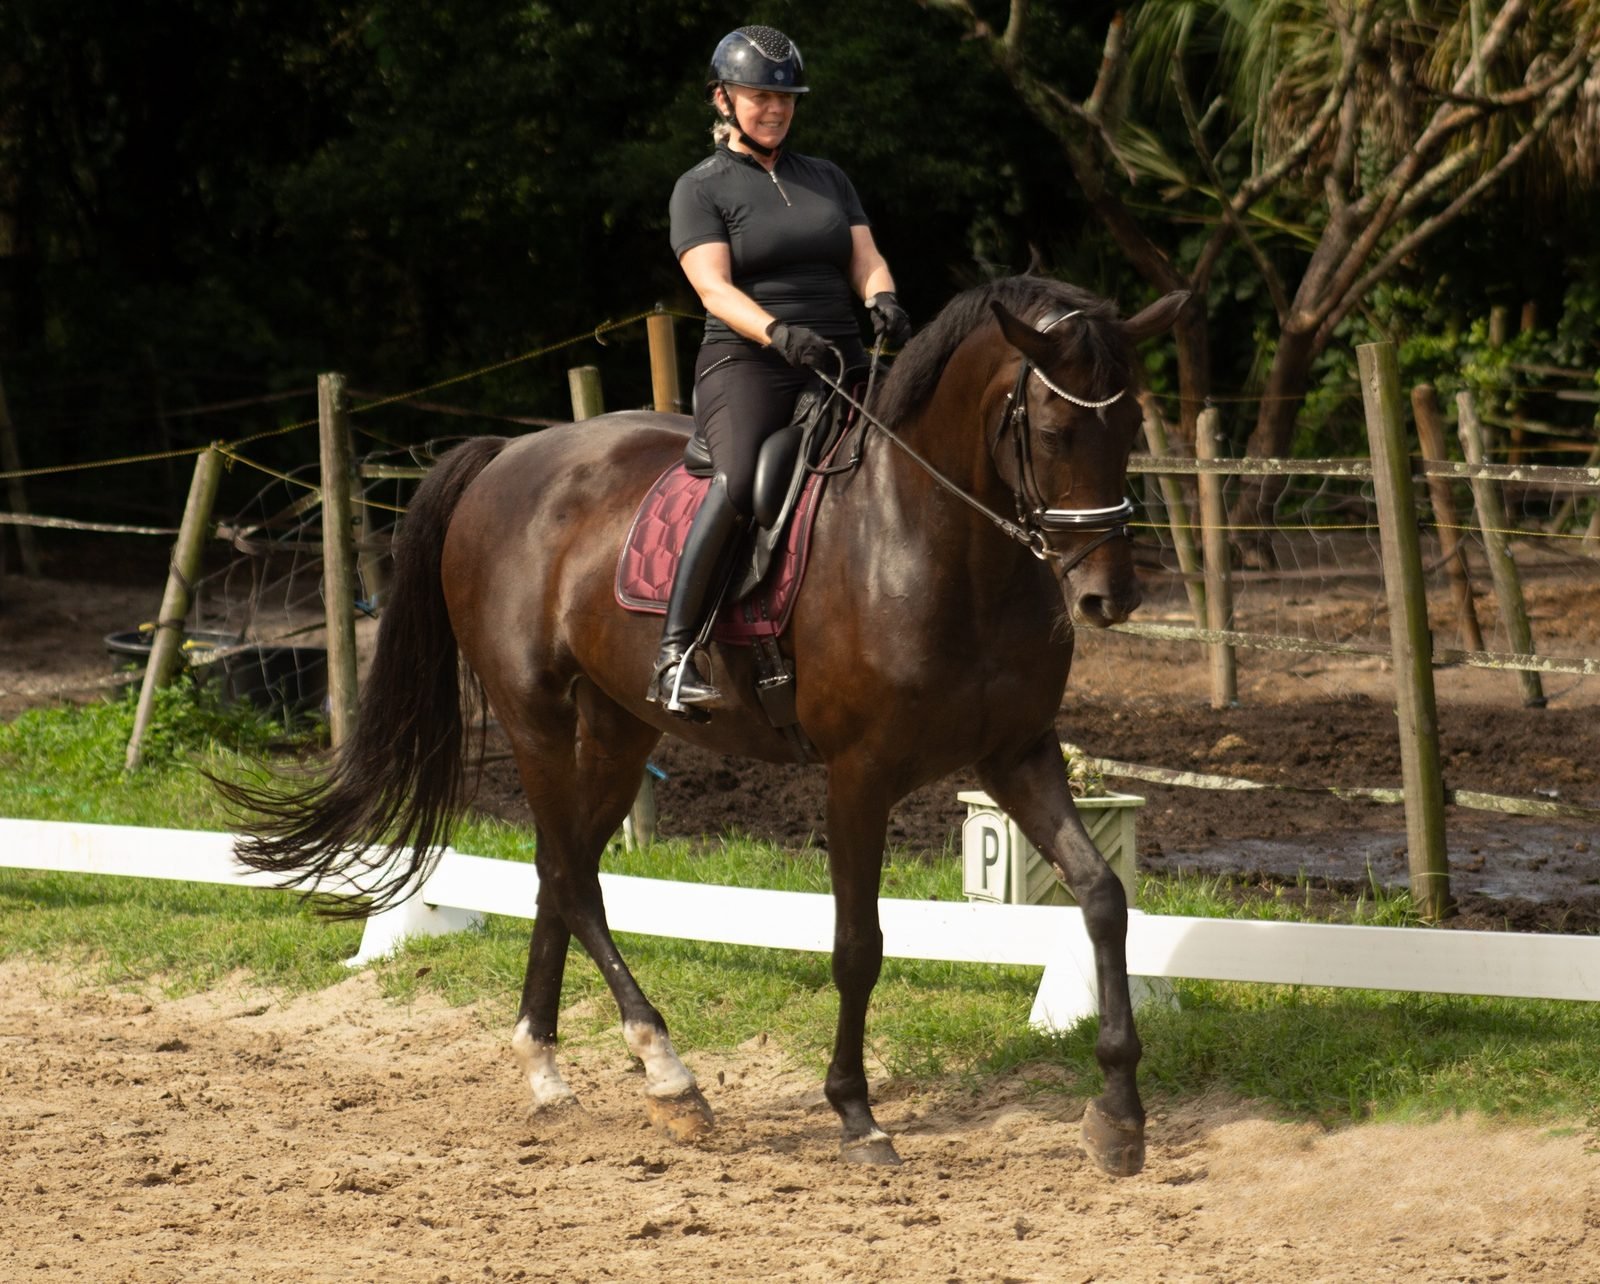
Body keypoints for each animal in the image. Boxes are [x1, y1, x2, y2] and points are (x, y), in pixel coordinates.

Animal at [228, 275, 1187, 1174]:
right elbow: (858, 943)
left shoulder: (1016, 755)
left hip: (620, 731)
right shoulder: (860, 773)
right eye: (1056, 432)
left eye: (1129, 429)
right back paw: (668, 1073)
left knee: (559, 871)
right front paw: (856, 1114)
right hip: (535, 718)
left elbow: (1104, 898)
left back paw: (547, 1070)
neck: (936, 539)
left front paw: (1119, 1116)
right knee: (572, 878)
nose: (1107, 597)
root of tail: (507, 454)